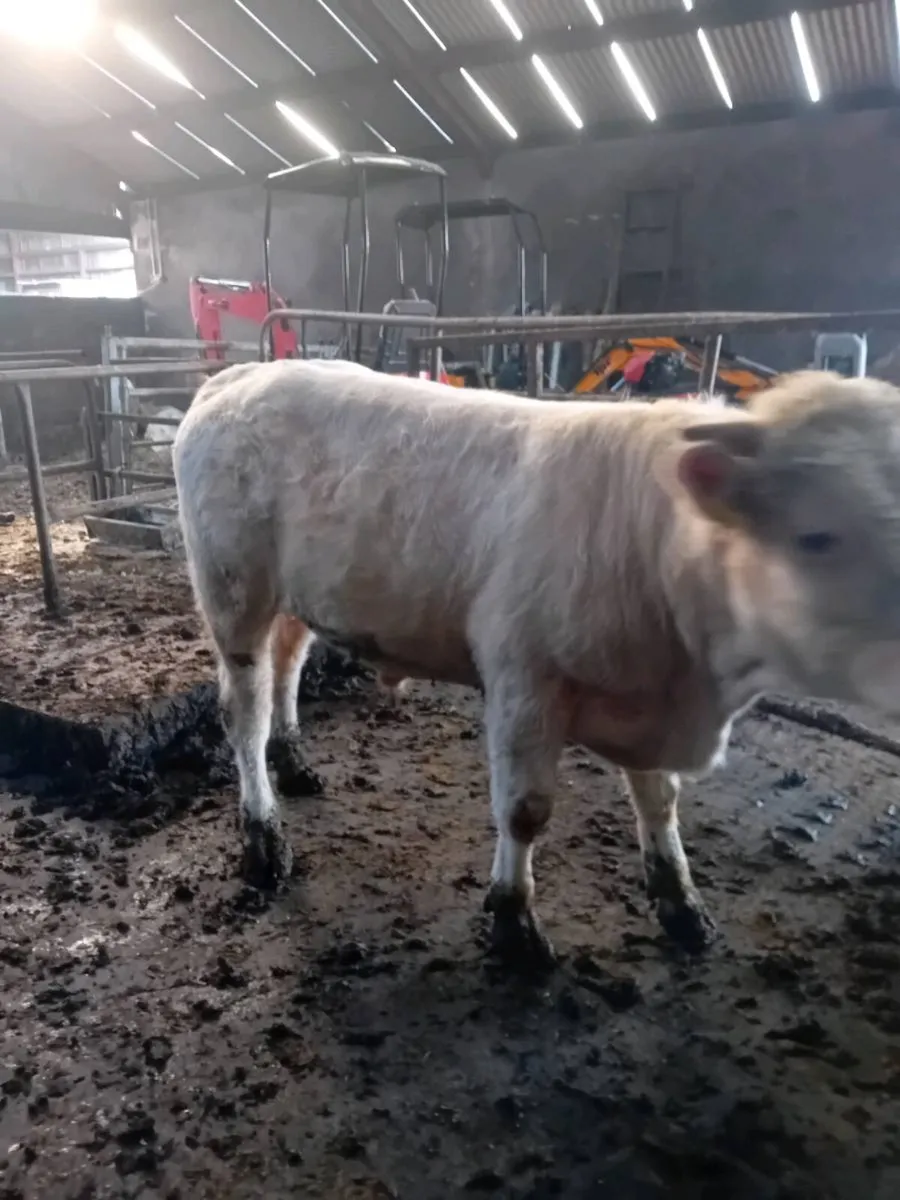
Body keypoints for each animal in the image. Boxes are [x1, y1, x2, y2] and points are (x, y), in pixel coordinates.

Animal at [173, 360, 900, 971]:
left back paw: (294, 761)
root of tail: (238, 375)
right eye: (816, 536)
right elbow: (525, 811)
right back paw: (264, 839)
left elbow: (659, 802)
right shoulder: (524, 680)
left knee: (287, 666)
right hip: (233, 590)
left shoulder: (648, 691)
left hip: (298, 595)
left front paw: (681, 903)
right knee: (244, 711)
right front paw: (513, 923)